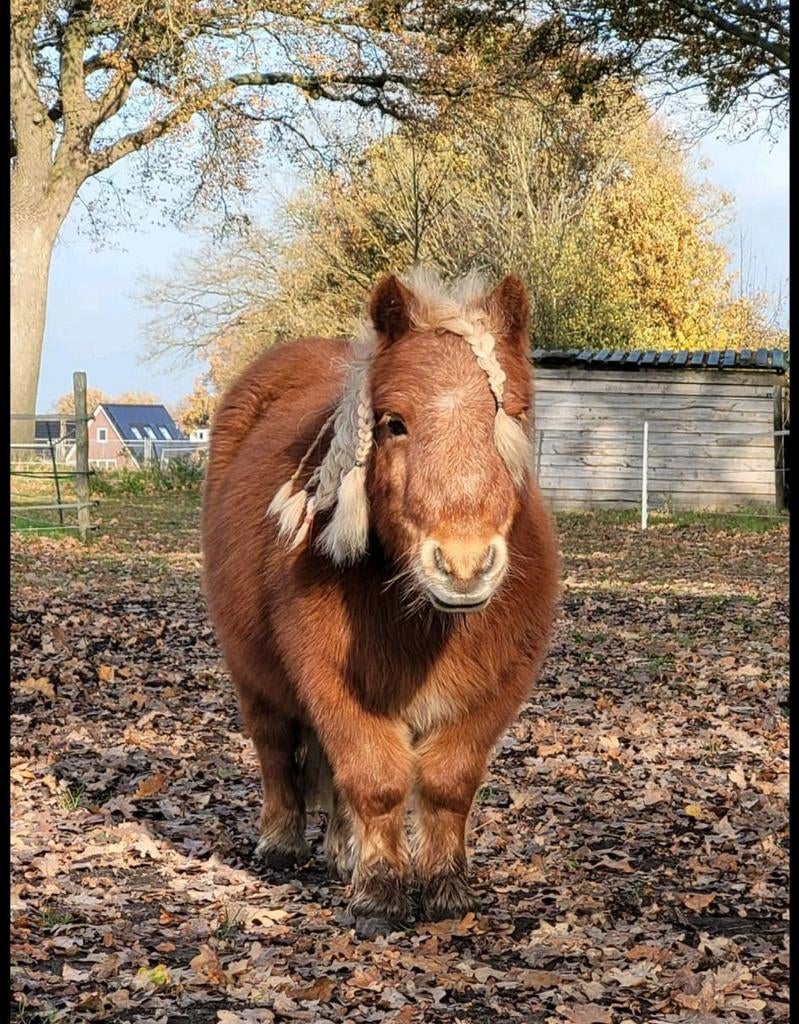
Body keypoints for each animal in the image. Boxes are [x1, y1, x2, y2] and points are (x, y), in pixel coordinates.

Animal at [202, 269, 560, 922]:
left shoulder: (491, 695)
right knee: (274, 750)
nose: (463, 566)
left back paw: (342, 853)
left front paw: (445, 889)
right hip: (252, 676)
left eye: (514, 415)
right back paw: (282, 843)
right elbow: (376, 779)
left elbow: (447, 785)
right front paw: (380, 893)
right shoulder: (334, 685)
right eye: (394, 423)